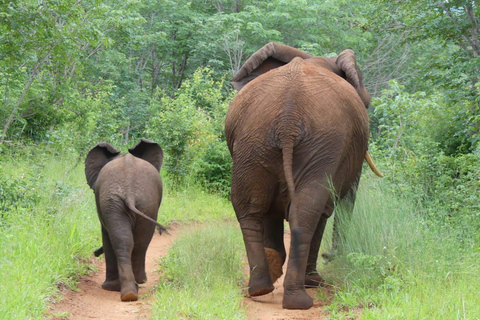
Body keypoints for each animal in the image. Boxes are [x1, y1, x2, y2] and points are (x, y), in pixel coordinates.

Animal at [85, 139, 168, 302]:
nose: (95, 253)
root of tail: (129, 191)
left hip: (132, 203)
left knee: (129, 241)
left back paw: (129, 289)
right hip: (137, 203)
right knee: (134, 241)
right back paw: (130, 291)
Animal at [225, 42, 382, 310]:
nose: (330, 257)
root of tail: (288, 118)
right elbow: (329, 207)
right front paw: (314, 281)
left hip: (253, 142)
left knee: (249, 209)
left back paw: (261, 288)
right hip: (322, 143)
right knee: (307, 213)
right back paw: (300, 298)